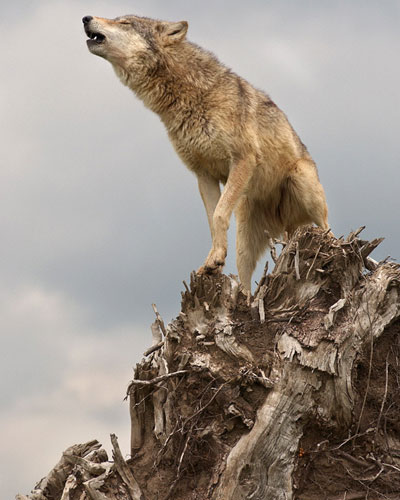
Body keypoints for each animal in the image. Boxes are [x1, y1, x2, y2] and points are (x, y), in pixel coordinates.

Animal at [81, 14, 328, 292]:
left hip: (304, 186)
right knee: (246, 284)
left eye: (124, 22)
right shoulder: (203, 175)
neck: (190, 96)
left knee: (328, 229)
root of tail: (284, 222)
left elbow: (219, 213)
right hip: (245, 243)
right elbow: (212, 221)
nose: (86, 17)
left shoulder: (242, 160)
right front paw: (212, 262)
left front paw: (214, 259)